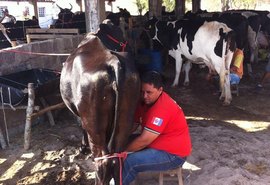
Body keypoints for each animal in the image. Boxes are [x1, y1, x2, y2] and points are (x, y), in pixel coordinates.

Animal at [60, 22, 140, 184]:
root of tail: (114, 62)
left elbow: (82, 127)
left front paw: (83, 147)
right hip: (125, 116)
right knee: (117, 158)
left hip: (94, 120)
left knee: (102, 160)